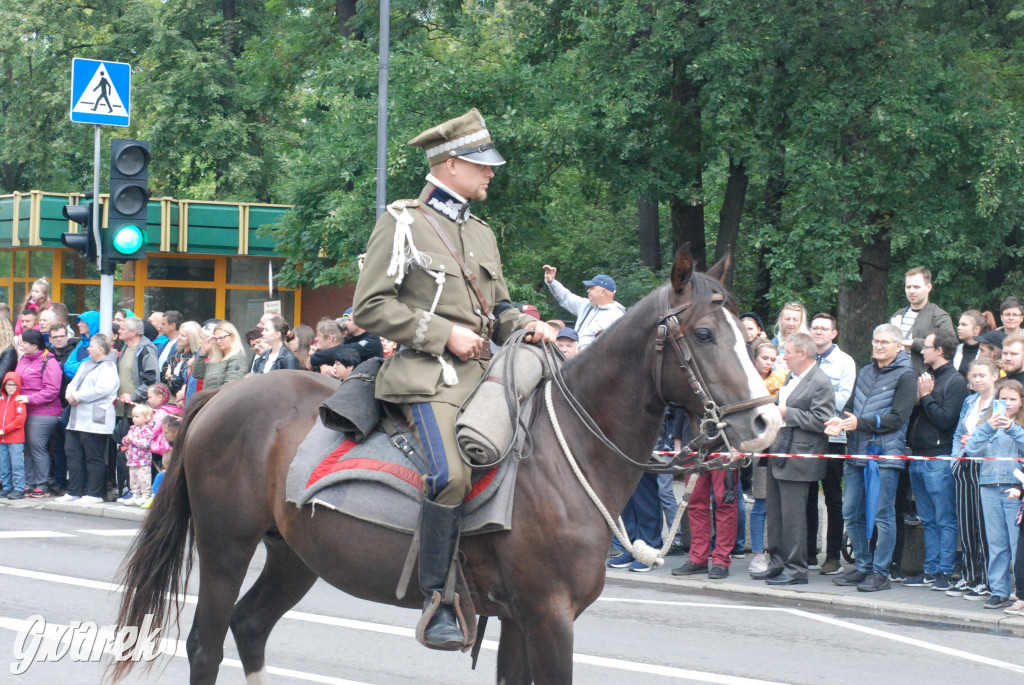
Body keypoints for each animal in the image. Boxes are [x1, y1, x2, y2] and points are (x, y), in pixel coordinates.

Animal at [112, 242, 778, 679]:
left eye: (744, 336)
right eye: (705, 334)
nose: (765, 423)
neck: (570, 455)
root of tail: (224, 395)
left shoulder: (520, 618)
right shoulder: (548, 616)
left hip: (294, 555)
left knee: (249, 628)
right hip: (226, 546)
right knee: (207, 643)